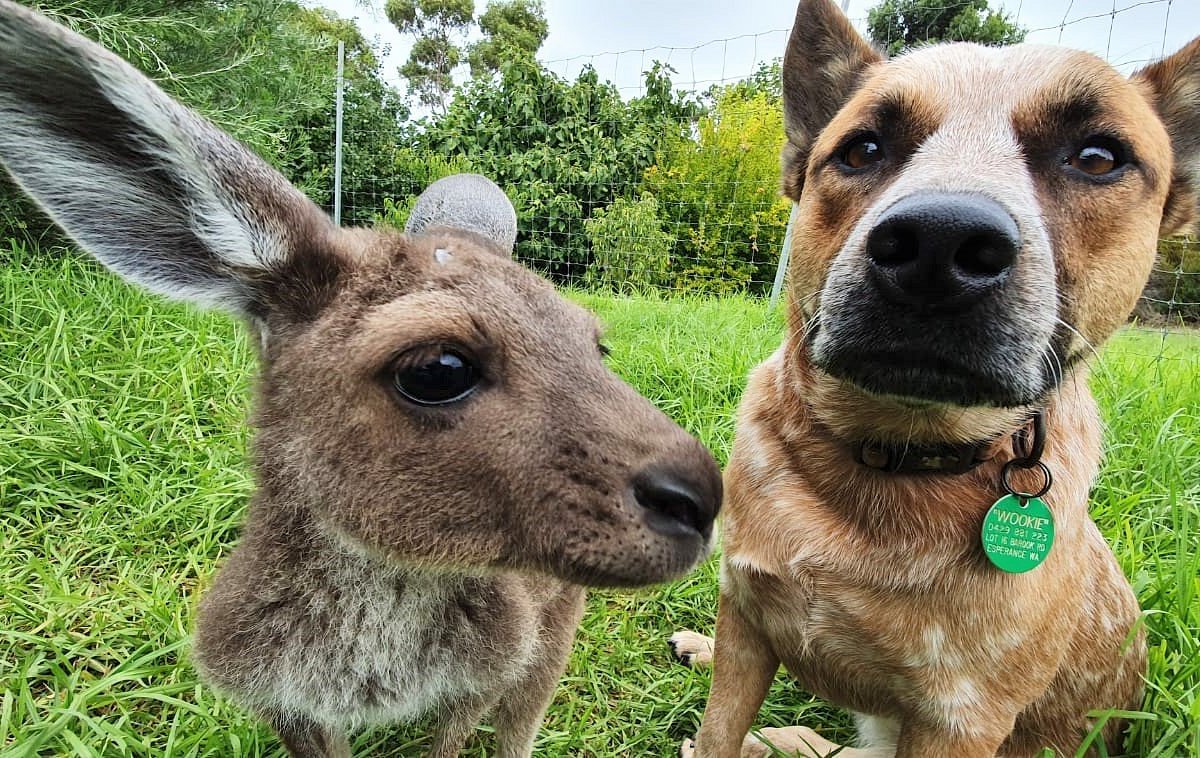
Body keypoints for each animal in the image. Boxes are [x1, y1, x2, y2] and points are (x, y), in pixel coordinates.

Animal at [676, 0, 1200, 753]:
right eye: (862, 149)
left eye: (1098, 158)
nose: (940, 242)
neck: (888, 461)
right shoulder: (745, 618)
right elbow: (721, 719)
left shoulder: (959, 720)